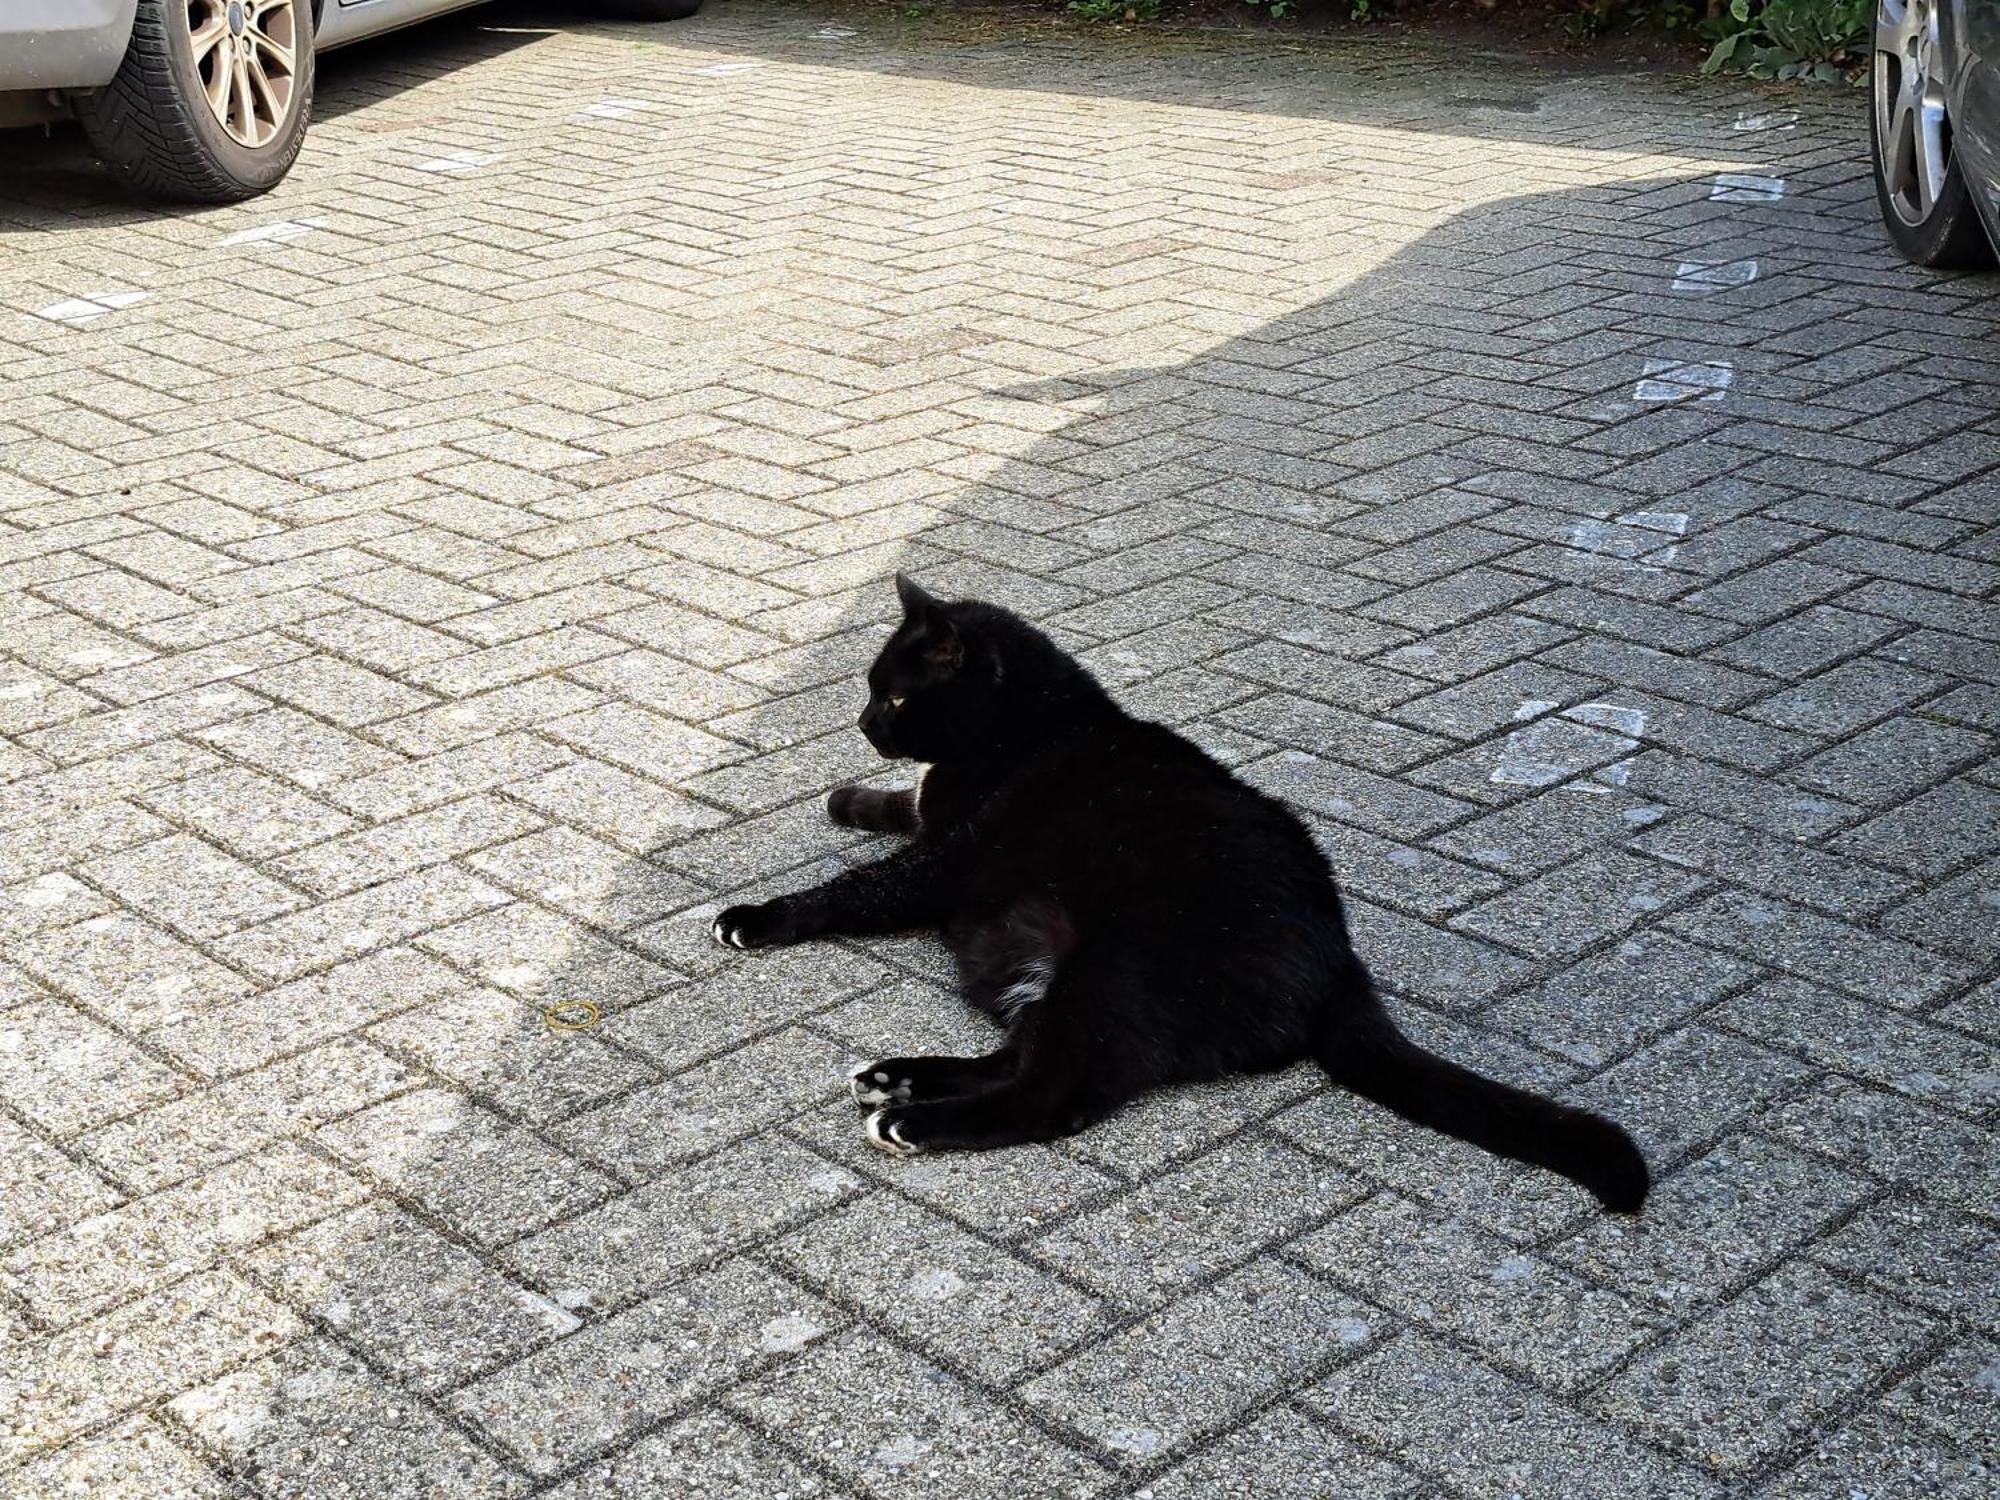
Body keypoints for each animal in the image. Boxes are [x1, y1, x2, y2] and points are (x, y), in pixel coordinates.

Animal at [712, 568, 1648, 1216]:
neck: (1030, 726)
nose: (865, 726)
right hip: (1062, 981)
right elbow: (900, 808)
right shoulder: (935, 822)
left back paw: (911, 1121)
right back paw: (899, 1078)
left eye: (898, 696)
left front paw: (756, 916)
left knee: (1050, 1096)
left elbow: (853, 888)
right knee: (1017, 1057)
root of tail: (1341, 960)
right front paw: (848, 799)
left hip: (1114, 970)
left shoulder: (946, 858)